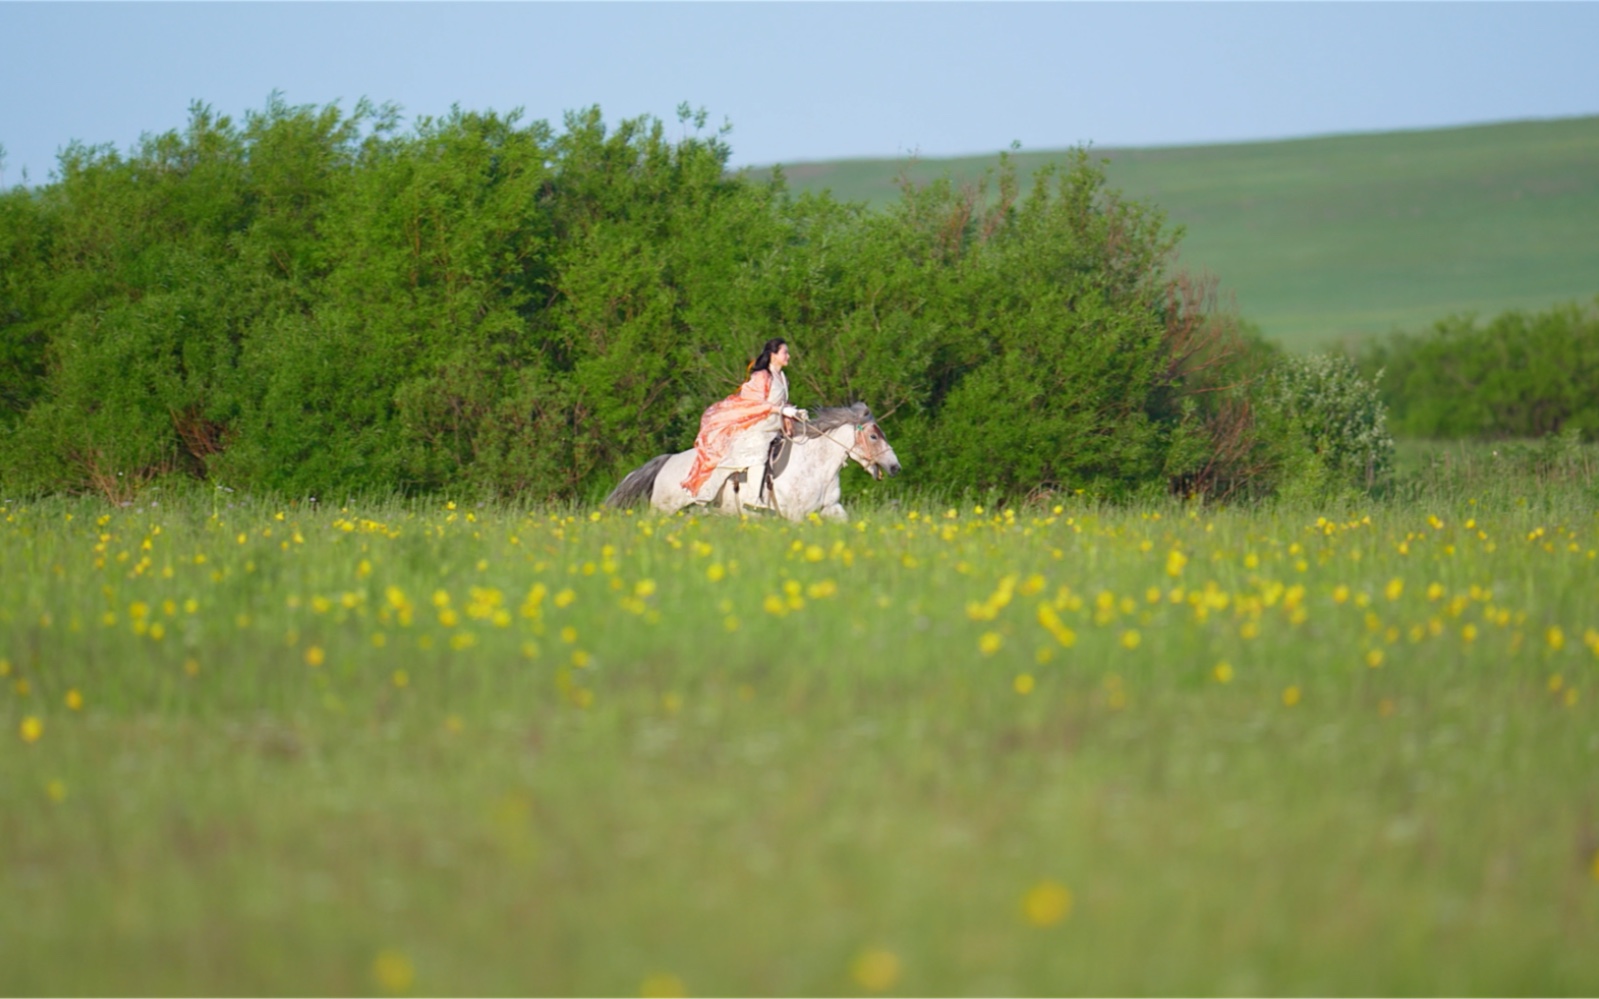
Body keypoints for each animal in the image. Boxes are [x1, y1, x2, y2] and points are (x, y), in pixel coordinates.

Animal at [601, 401, 901, 521]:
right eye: (874, 436)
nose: (895, 467)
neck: (816, 467)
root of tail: (667, 461)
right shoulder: (794, 516)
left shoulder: (832, 508)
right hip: (663, 510)